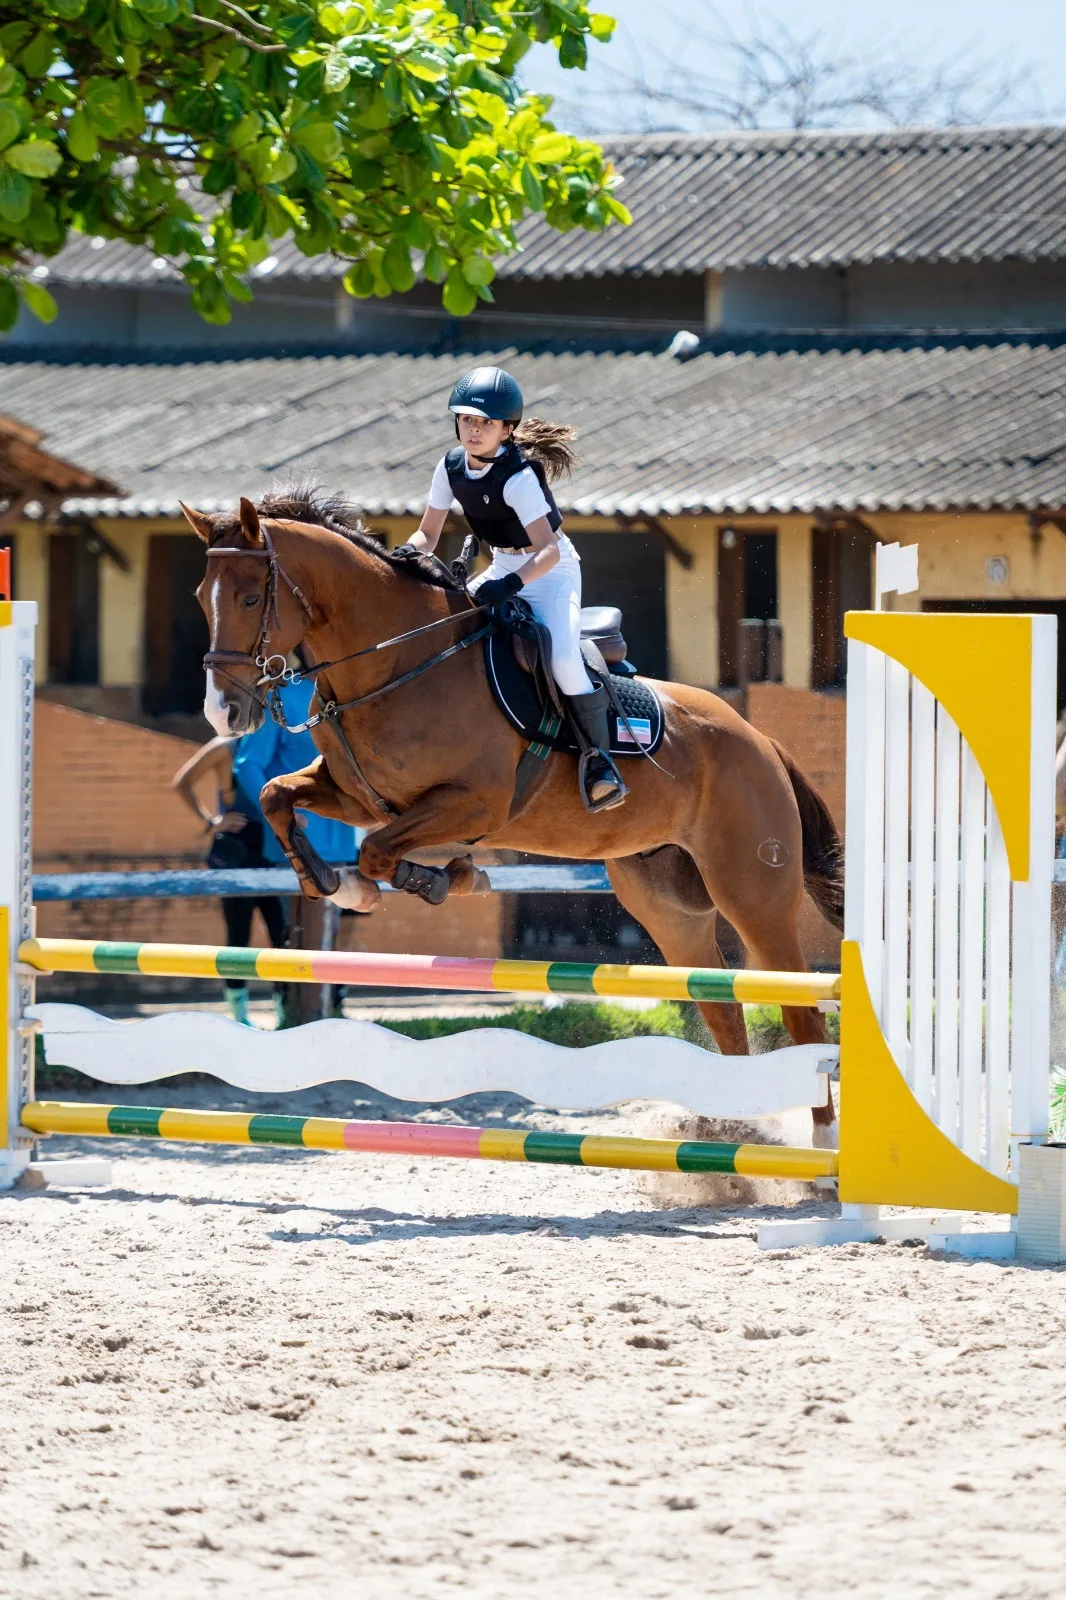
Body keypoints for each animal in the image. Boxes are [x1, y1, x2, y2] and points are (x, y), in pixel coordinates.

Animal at [185, 488, 844, 1135]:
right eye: (200, 598)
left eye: (250, 596)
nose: (224, 713)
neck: (396, 664)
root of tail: (759, 741)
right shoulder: (356, 794)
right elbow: (277, 797)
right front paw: (338, 882)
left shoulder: (474, 804)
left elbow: (376, 850)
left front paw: (428, 879)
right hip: (668, 905)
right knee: (721, 1008)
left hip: (752, 895)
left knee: (801, 1010)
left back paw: (819, 1145)